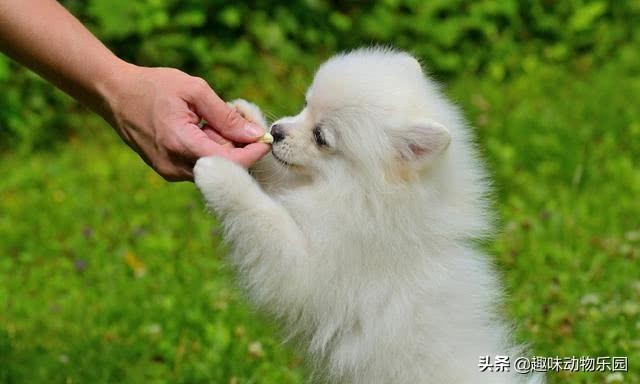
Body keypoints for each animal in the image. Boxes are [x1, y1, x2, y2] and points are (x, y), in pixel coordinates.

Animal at [196, 48, 544, 384]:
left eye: (321, 137)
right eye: (306, 105)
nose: (276, 130)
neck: (364, 198)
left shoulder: (309, 271)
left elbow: (263, 215)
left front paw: (219, 173)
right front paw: (246, 118)